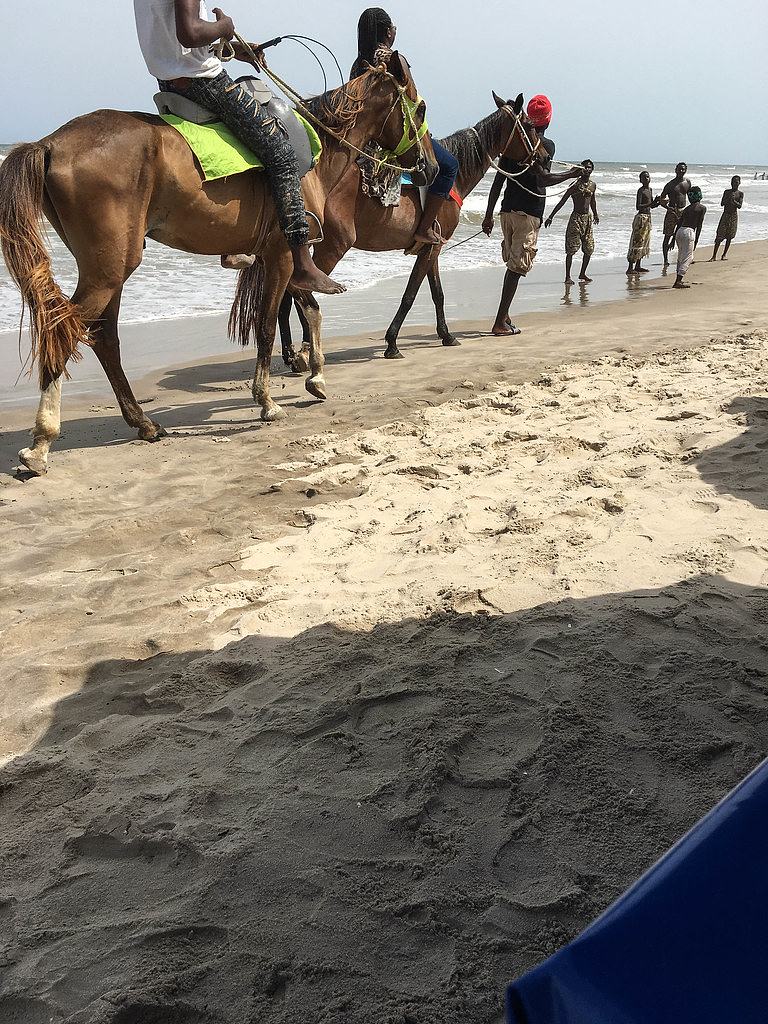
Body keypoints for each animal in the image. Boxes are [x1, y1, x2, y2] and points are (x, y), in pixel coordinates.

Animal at [0, 51, 437, 475]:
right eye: (420, 109)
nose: (430, 168)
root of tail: (49, 143)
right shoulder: (282, 255)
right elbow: (268, 325)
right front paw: (268, 400)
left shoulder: (282, 261)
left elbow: (308, 308)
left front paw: (316, 376)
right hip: (108, 270)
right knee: (63, 330)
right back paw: (41, 444)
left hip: (110, 268)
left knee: (104, 337)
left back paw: (143, 422)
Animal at [278, 92, 542, 374]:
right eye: (529, 125)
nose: (543, 156)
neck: (456, 176)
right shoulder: (432, 248)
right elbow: (410, 295)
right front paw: (392, 343)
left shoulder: (432, 247)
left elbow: (438, 294)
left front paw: (446, 335)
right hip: (333, 246)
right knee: (299, 290)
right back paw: (306, 351)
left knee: (286, 294)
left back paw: (291, 354)